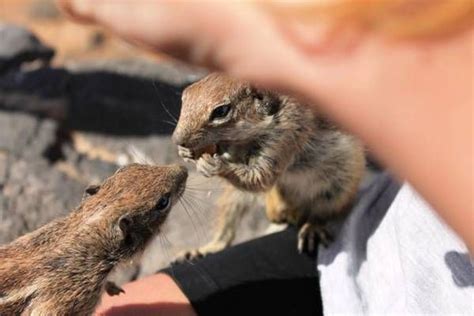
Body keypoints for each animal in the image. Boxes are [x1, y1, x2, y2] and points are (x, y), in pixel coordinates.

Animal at [172, 73, 364, 258]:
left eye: (221, 111)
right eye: (183, 98)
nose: (177, 140)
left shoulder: (287, 133)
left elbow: (261, 177)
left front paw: (216, 164)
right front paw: (187, 153)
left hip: (339, 187)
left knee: (323, 212)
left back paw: (312, 227)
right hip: (234, 196)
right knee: (227, 228)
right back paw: (205, 249)